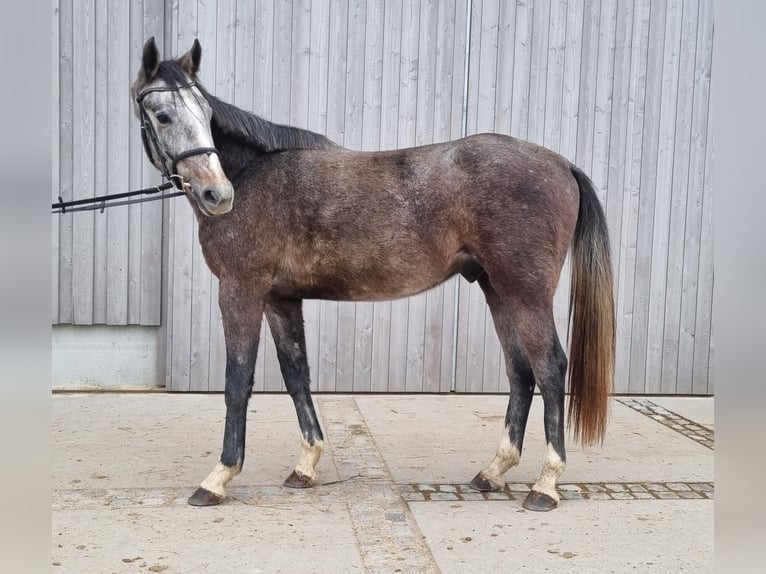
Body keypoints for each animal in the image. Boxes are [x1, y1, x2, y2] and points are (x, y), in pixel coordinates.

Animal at [131, 37, 615, 512]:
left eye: (206, 113)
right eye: (163, 114)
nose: (218, 194)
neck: (253, 175)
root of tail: (561, 164)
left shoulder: (240, 291)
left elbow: (237, 380)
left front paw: (218, 478)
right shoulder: (279, 299)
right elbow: (296, 374)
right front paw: (306, 465)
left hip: (525, 293)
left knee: (549, 368)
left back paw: (545, 486)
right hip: (499, 291)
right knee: (521, 372)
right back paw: (493, 472)